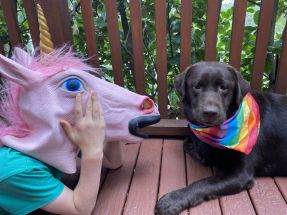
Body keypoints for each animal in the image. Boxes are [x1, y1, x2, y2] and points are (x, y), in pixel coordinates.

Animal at [155, 61, 287, 214]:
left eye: (224, 87)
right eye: (197, 86)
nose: (210, 112)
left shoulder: (241, 174)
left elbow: (204, 182)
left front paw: (173, 200)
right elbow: (189, 144)